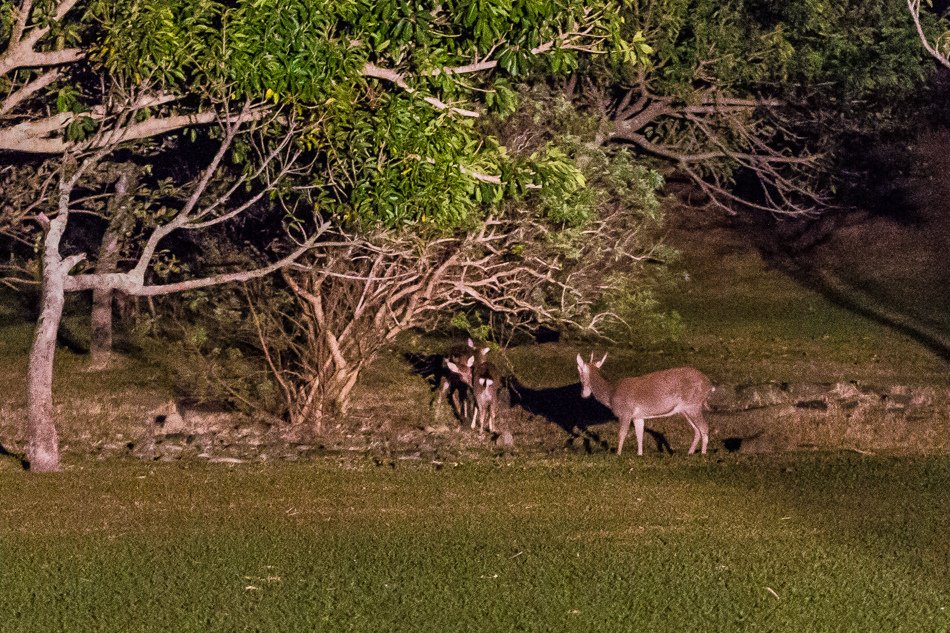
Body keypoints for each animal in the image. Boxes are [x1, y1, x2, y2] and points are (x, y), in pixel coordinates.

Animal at [572, 350, 712, 454]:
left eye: (579, 373)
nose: (583, 394)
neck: (611, 394)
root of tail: (709, 385)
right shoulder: (638, 416)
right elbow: (640, 435)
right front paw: (639, 454)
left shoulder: (625, 412)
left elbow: (621, 434)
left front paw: (618, 454)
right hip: (685, 409)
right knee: (697, 430)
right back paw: (690, 453)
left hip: (693, 405)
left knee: (704, 427)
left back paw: (703, 454)